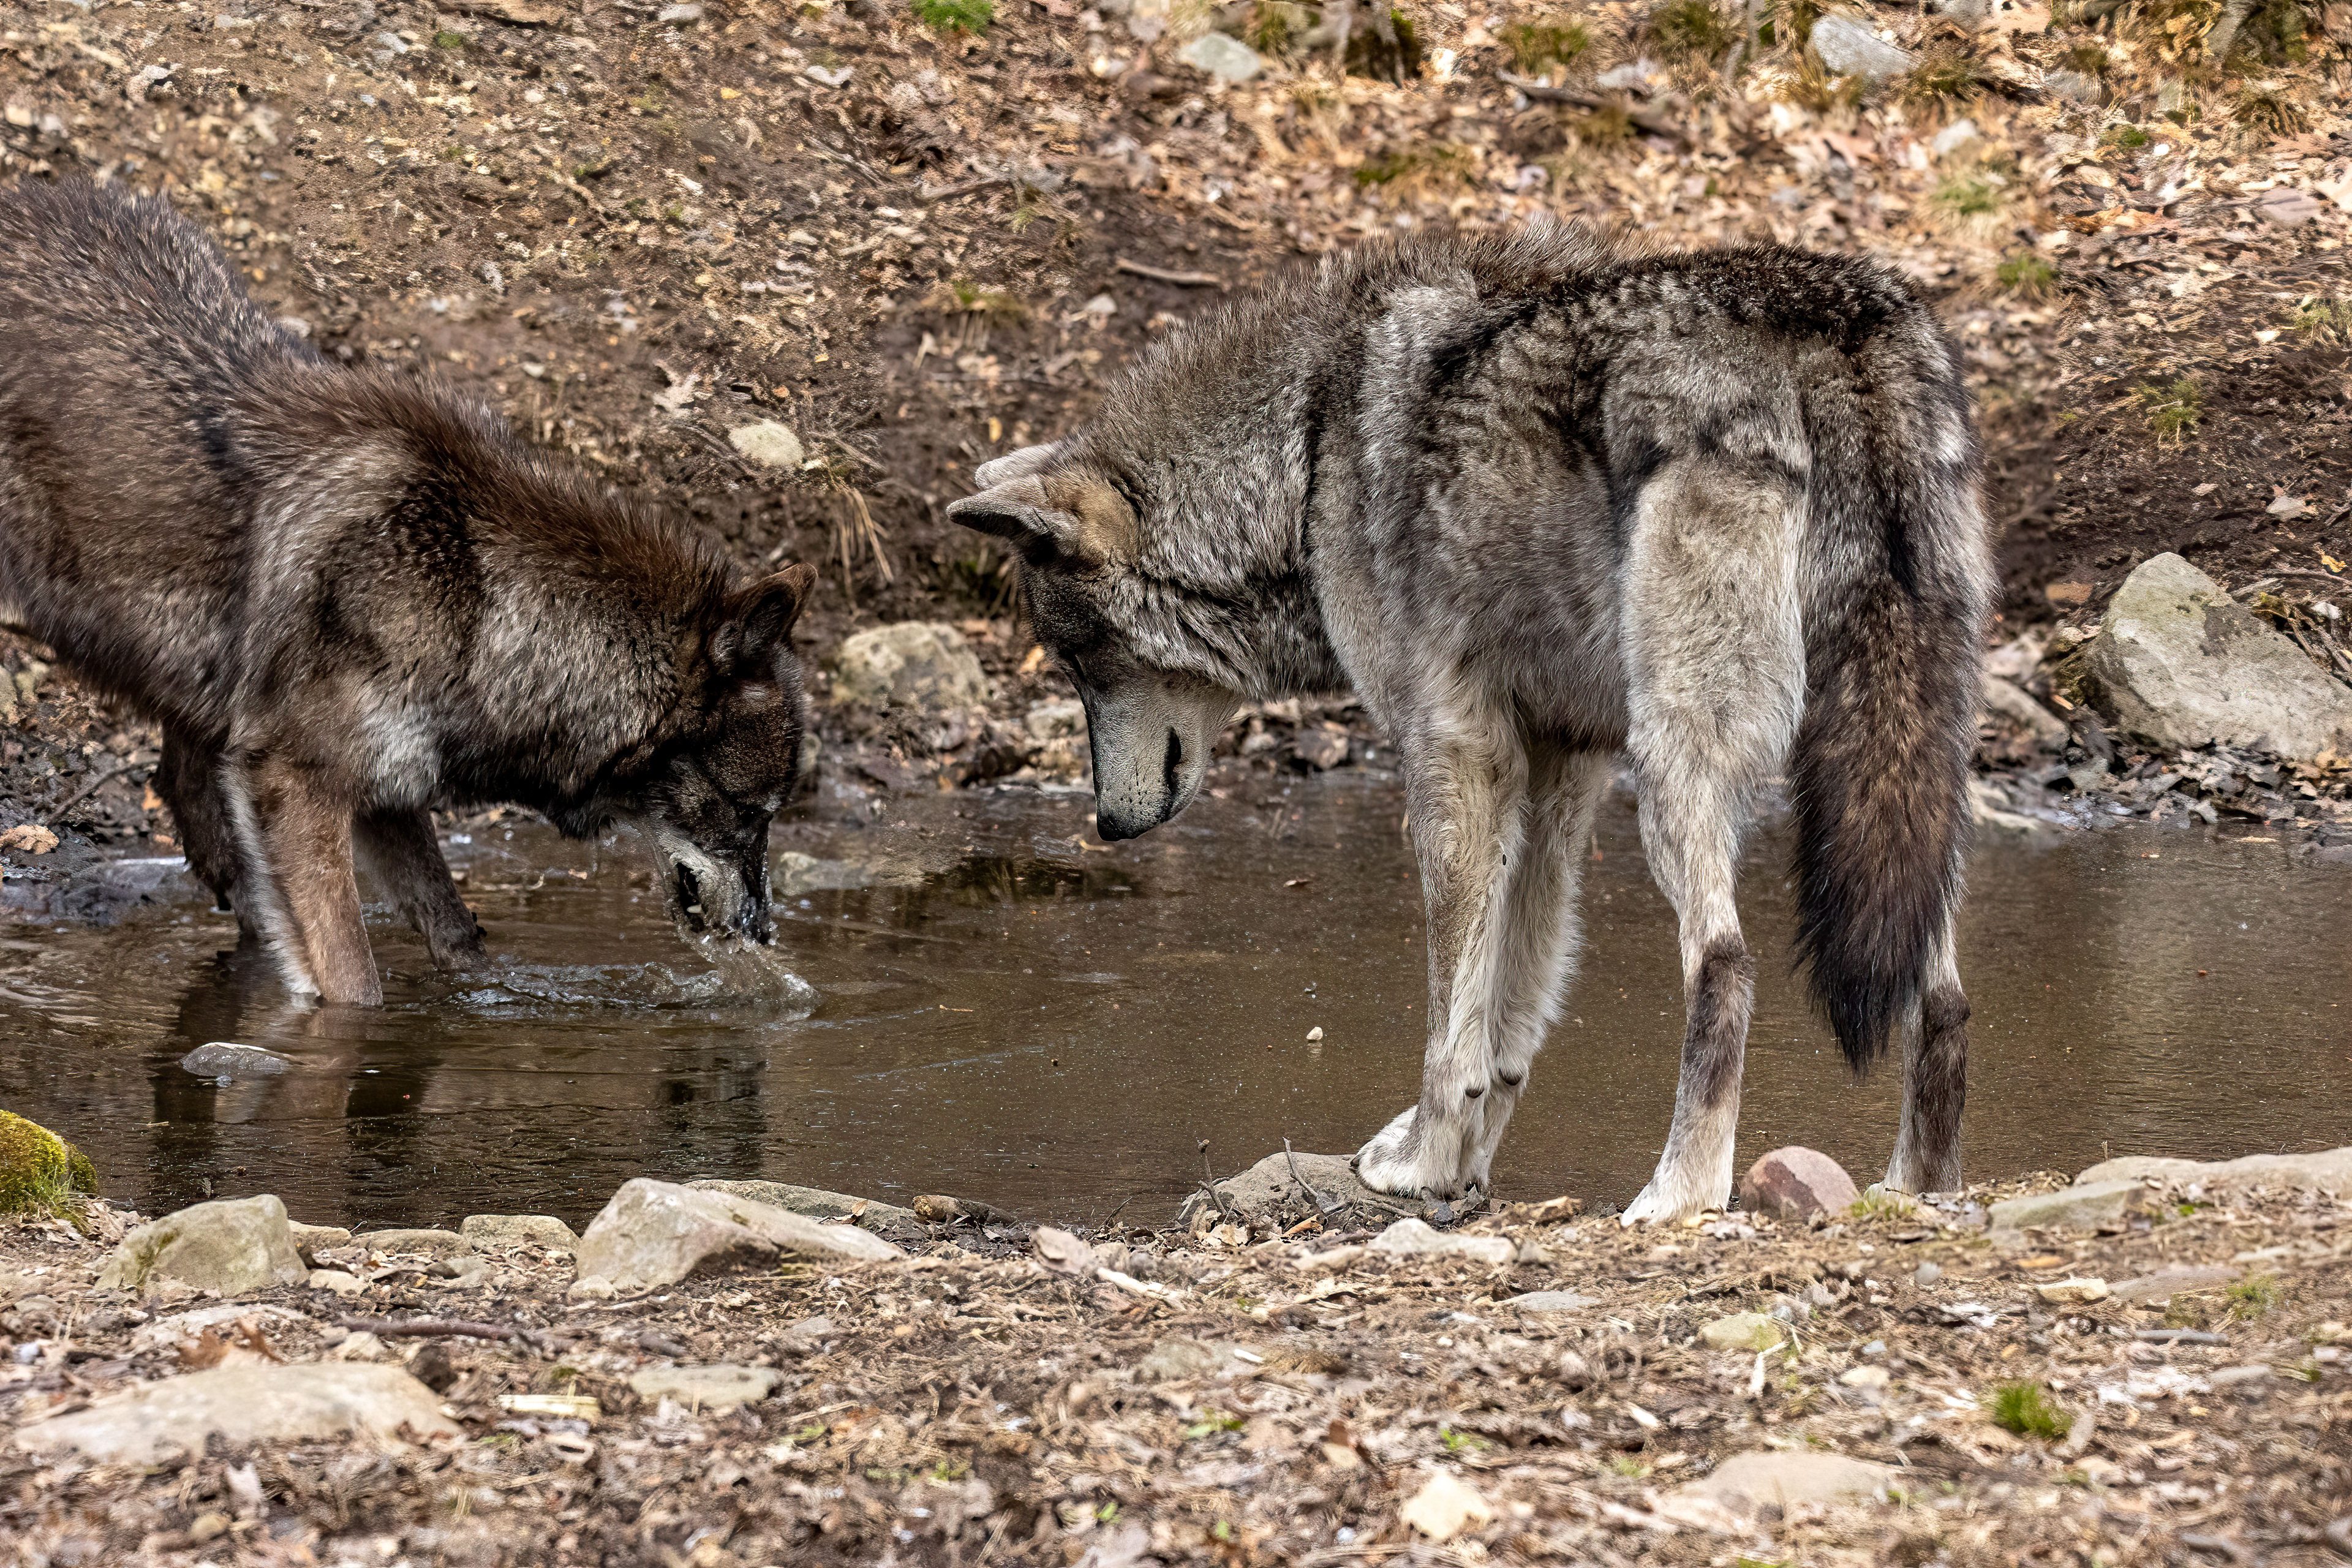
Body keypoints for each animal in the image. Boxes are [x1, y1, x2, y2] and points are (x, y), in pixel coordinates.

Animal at [0, 180, 815, 1007]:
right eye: (748, 813)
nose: (763, 933)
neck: (480, 603)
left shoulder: (388, 793)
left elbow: (459, 938)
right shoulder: (298, 782)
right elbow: (353, 980)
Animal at [951, 224, 1992, 1222]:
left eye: (1078, 660)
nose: (1105, 826)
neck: (1305, 452)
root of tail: (1839, 324)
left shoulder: (1454, 749)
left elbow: (1452, 1017)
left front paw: (1423, 1160)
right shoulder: (1562, 762)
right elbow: (1511, 1009)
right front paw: (1466, 1164)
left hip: (1678, 769)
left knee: (1726, 967)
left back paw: (1678, 1194)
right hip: (1910, 779)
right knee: (1941, 998)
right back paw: (1916, 1188)